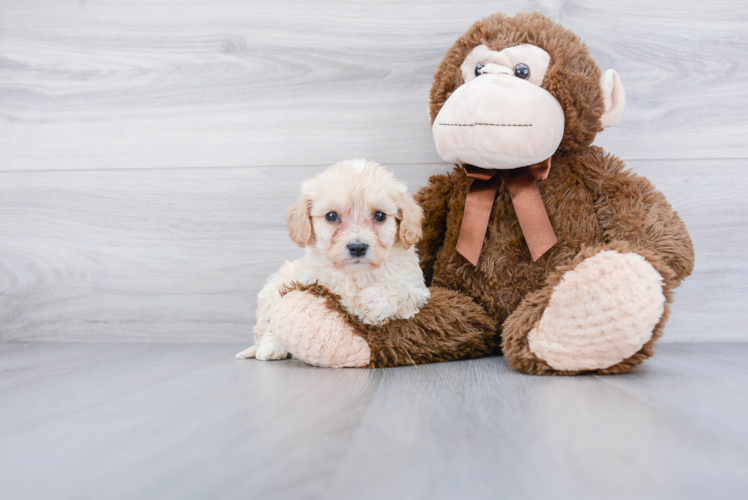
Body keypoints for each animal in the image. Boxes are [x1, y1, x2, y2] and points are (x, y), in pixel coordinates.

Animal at [237, 162, 430, 362]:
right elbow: (279, 311)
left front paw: (370, 302)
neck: (356, 273)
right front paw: (272, 343)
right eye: (331, 216)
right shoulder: (305, 279)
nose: (357, 247)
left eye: (379, 215)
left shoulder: (416, 288)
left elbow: (400, 290)